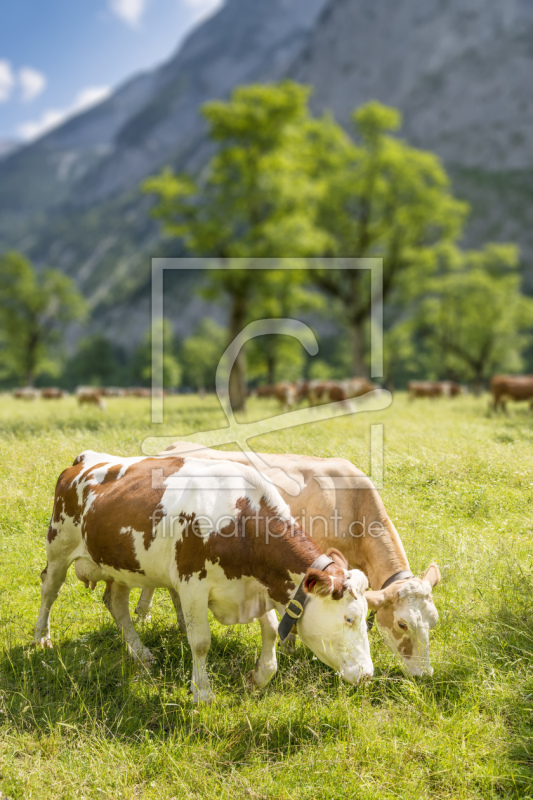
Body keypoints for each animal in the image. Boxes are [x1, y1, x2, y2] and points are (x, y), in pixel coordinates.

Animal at [34, 450, 382, 700]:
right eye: (349, 618)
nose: (367, 674)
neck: (242, 522)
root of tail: (86, 460)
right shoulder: (192, 587)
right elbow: (200, 642)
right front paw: (202, 692)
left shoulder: (256, 588)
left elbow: (270, 631)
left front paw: (259, 677)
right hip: (58, 546)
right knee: (49, 590)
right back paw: (41, 638)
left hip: (122, 566)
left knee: (116, 605)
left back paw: (141, 654)